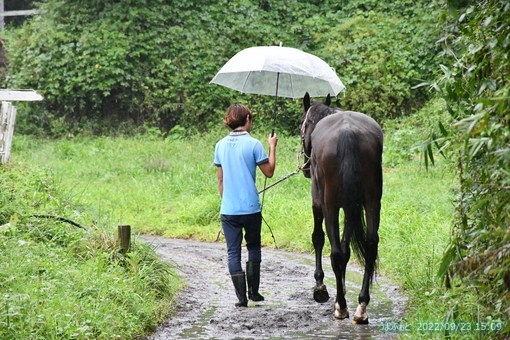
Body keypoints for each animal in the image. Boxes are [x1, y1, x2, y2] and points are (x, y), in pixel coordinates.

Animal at [298, 91, 382, 322]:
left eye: (301, 125)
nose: (306, 169)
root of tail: (348, 132)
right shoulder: (351, 207)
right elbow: (346, 248)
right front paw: (341, 288)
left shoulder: (319, 203)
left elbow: (319, 238)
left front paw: (321, 287)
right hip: (372, 202)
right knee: (370, 246)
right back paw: (361, 306)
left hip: (330, 206)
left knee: (334, 251)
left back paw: (341, 307)